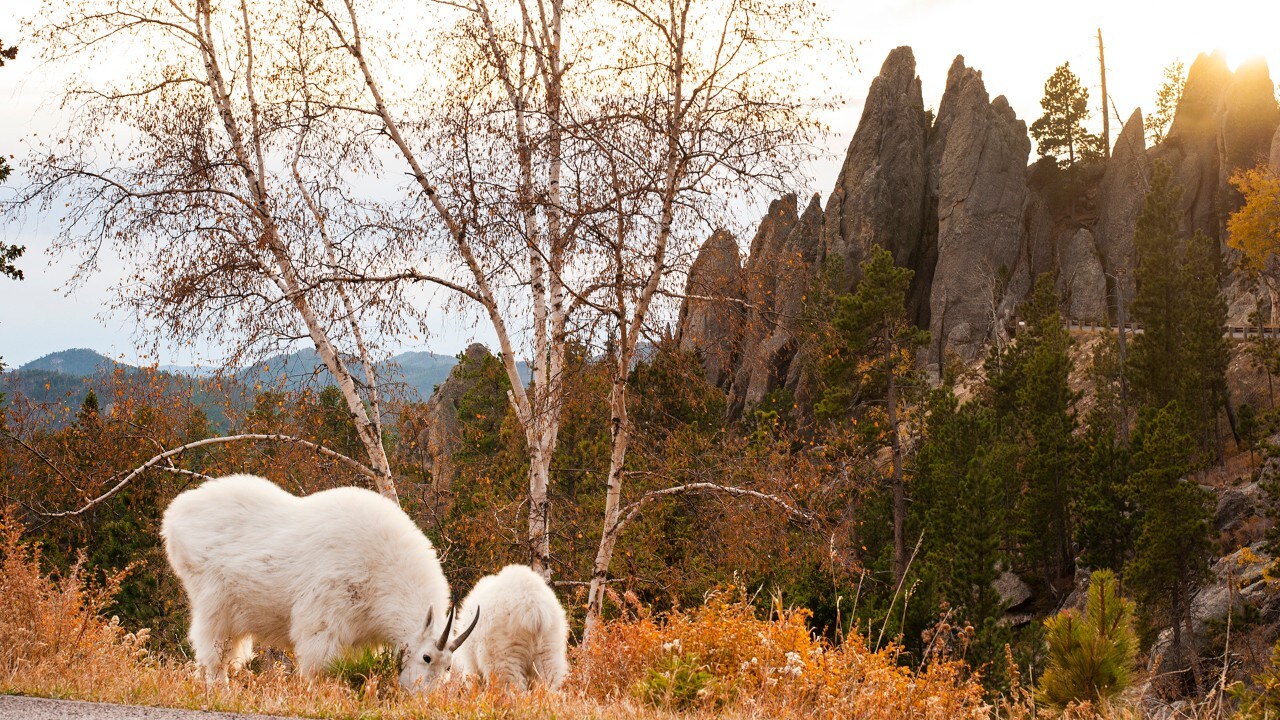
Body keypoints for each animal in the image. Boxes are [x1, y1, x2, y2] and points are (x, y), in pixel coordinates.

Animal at [159, 474, 478, 686]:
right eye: (426, 657)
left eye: (449, 667)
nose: (423, 695)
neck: (380, 569)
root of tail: (174, 516)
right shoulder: (322, 623)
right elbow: (318, 668)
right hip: (214, 602)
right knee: (213, 654)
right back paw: (219, 690)